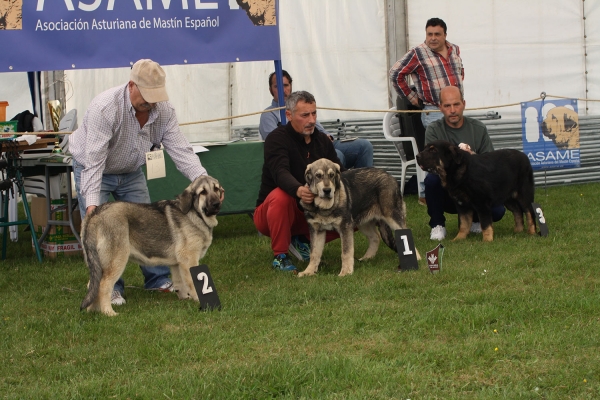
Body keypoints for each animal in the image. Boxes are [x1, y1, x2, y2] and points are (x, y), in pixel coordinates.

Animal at [77, 175, 223, 316]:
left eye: (216, 189)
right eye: (202, 192)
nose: (216, 204)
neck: (196, 215)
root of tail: (95, 213)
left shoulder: (177, 264)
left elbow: (179, 283)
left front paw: (184, 299)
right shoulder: (189, 260)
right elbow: (193, 284)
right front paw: (199, 300)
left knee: (92, 285)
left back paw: (93, 310)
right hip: (117, 261)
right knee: (103, 286)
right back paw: (108, 312)